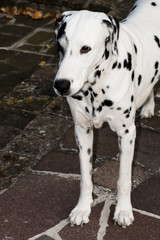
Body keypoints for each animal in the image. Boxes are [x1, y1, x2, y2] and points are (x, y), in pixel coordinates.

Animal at [54, 0, 160, 228]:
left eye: (85, 48)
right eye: (60, 46)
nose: (61, 85)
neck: (96, 86)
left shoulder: (127, 134)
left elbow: (124, 179)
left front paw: (123, 210)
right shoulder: (82, 130)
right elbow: (85, 177)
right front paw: (82, 208)